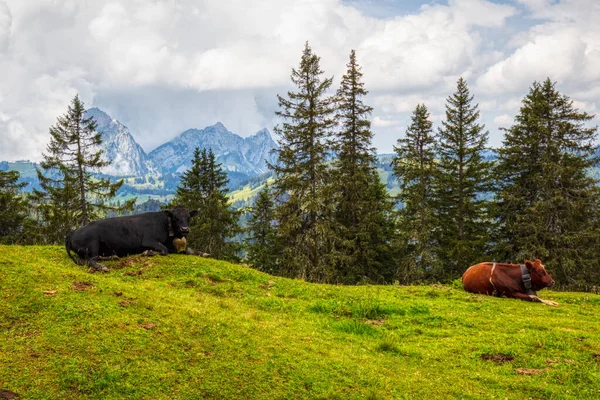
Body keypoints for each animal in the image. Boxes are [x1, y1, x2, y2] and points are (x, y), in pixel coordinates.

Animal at [65, 206, 200, 272]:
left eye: (189, 218)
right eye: (175, 218)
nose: (184, 229)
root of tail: (72, 232)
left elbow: (188, 250)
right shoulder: (148, 240)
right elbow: (164, 250)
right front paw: (148, 252)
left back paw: (113, 257)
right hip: (93, 242)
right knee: (90, 261)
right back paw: (103, 266)